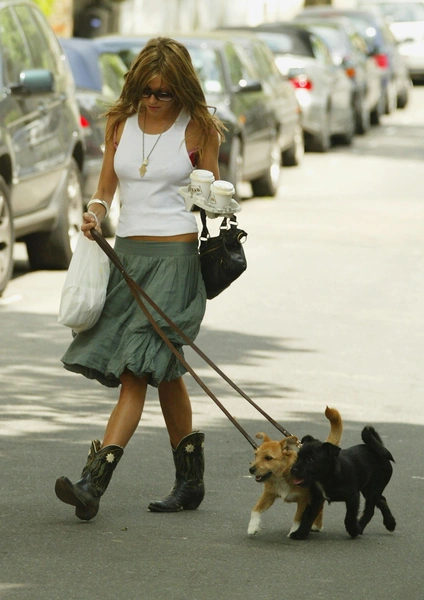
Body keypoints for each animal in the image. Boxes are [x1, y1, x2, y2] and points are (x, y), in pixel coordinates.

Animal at [247, 406, 342, 536]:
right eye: (256, 455)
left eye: (268, 458)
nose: (251, 470)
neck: (284, 476)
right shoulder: (268, 495)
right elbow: (255, 509)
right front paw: (253, 526)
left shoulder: (304, 499)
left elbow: (297, 518)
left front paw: (294, 531)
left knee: (320, 507)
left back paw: (317, 525)